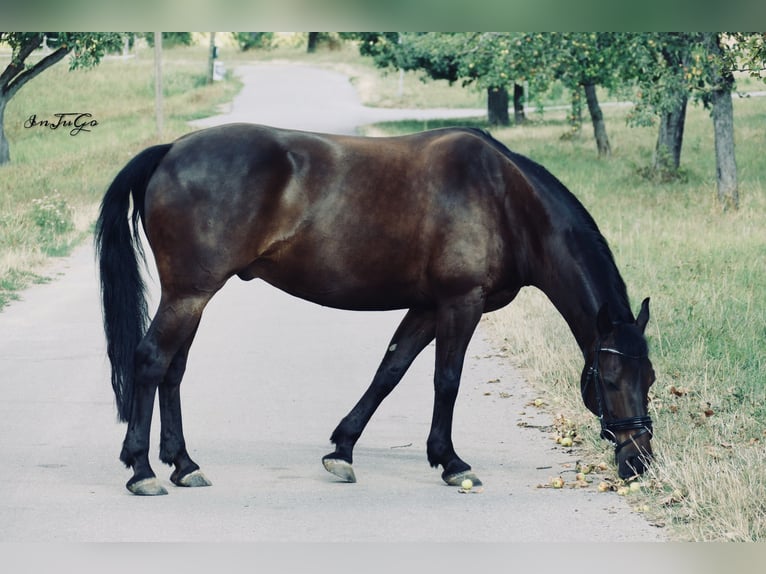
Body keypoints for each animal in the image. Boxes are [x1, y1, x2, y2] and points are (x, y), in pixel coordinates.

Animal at [95, 123, 655, 496]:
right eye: (607, 379)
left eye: (648, 378)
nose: (639, 460)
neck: (505, 200)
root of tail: (170, 150)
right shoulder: (461, 303)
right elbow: (446, 380)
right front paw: (451, 462)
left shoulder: (426, 307)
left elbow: (390, 370)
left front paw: (341, 450)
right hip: (188, 293)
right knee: (151, 361)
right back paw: (142, 470)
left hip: (192, 297)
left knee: (173, 370)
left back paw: (183, 464)